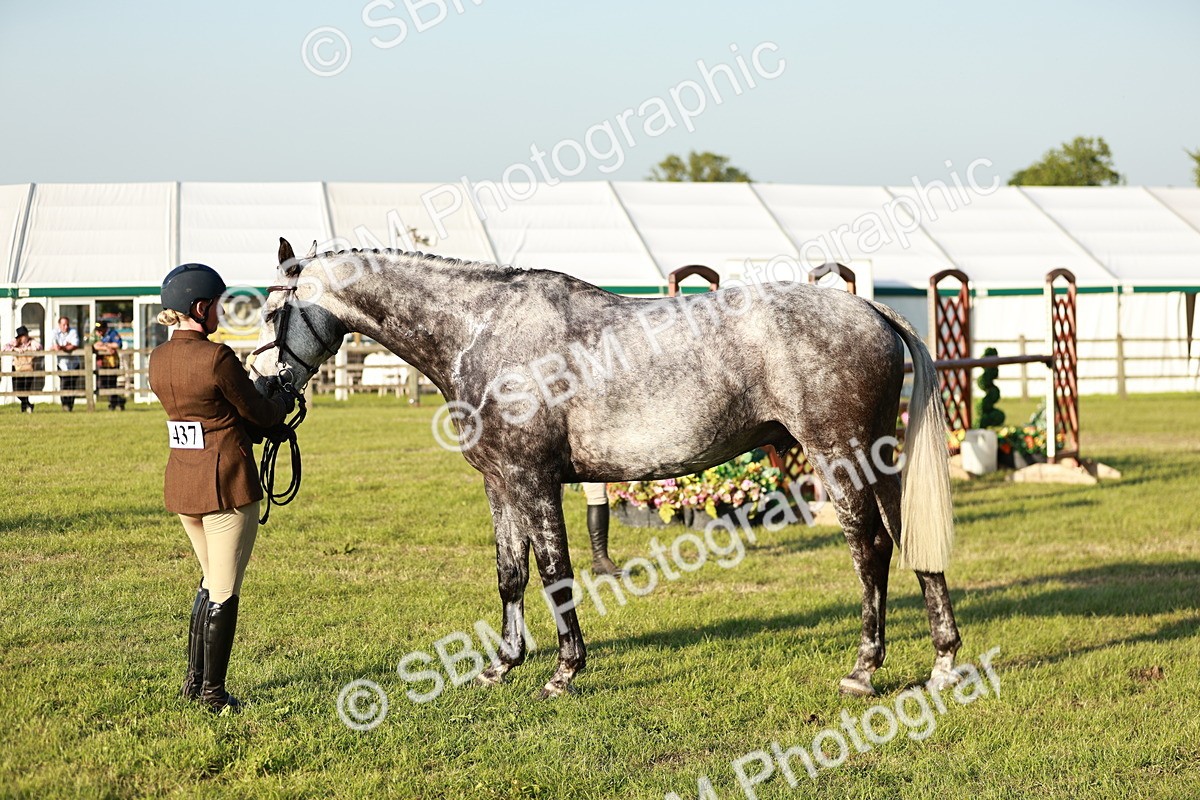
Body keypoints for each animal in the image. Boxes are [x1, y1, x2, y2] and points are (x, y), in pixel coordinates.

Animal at [249, 237, 961, 699]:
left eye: (271, 310)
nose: (265, 388)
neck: (482, 329)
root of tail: (867, 308)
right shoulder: (500, 483)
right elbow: (510, 574)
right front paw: (502, 663)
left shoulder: (533, 480)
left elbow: (555, 572)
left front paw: (564, 671)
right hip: (878, 460)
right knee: (910, 541)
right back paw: (943, 659)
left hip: (839, 457)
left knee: (869, 550)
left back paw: (864, 670)